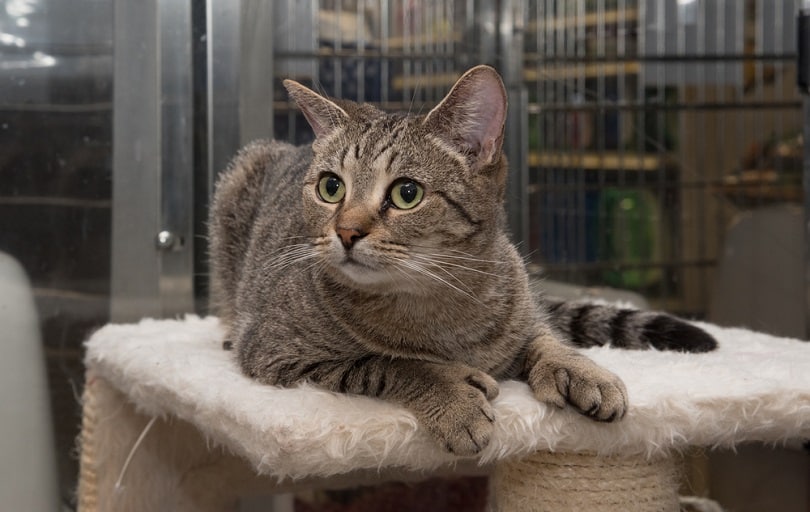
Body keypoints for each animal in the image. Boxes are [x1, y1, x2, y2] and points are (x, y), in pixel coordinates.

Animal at [210, 65, 712, 456]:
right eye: (331, 187)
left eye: (406, 193)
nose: (346, 231)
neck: (438, 304)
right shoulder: (276, 352)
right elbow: (387, 363)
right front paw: (453, 396)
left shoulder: (520, 311)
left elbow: (543, 336)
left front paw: (579, 367)